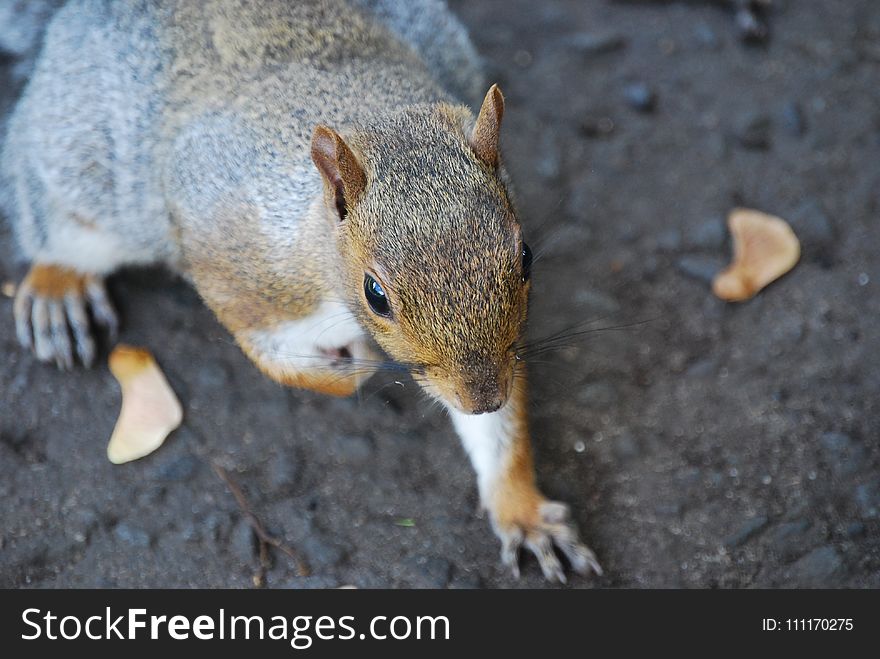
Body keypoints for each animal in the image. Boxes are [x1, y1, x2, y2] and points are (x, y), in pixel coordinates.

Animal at [0, 0, 600, 584]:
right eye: (376, 294)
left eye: (525, 257)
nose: (481, 398)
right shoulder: (231, 263)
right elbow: (278, 361)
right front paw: (350, 367)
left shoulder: (503, 353)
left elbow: (500, 430)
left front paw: (522, 511)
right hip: (80, 163)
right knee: (48, 212)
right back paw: (57, 289)